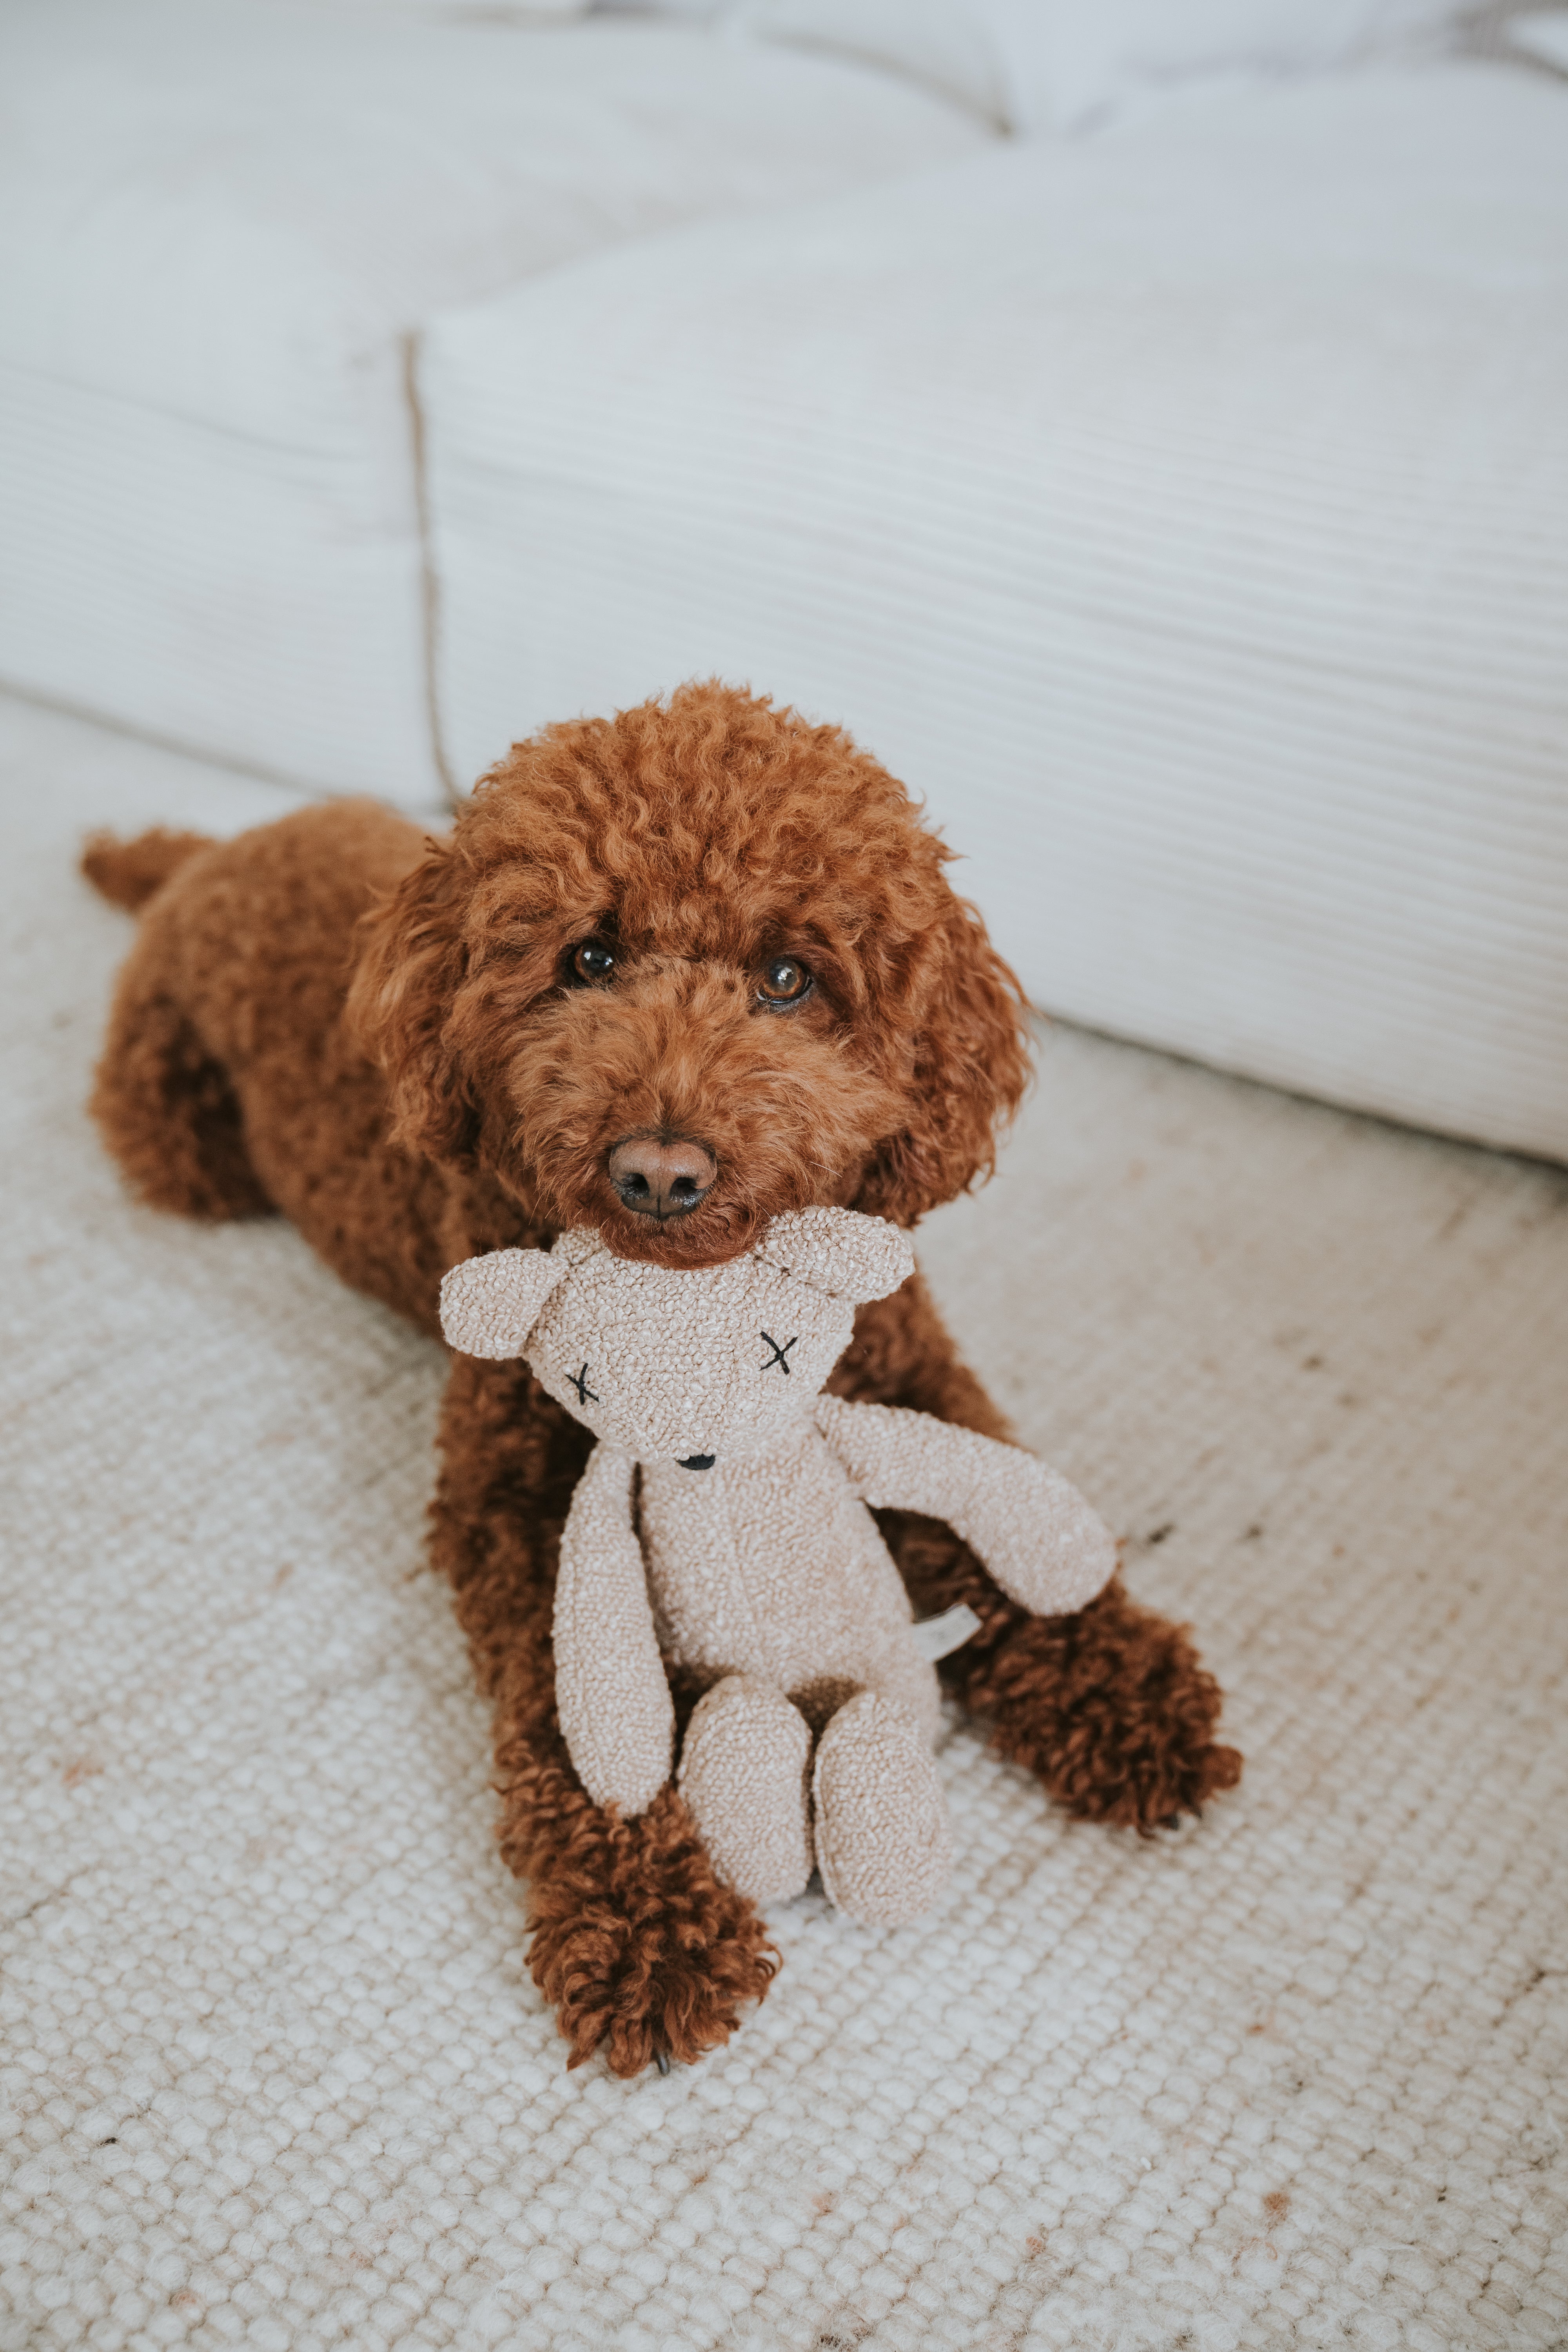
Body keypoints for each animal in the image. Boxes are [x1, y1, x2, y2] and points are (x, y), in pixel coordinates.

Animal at [85, 682, 1241, 2079]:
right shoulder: (518, 1508)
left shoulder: (905, 1365)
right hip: (181, 1145)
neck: (700, 1293)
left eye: (789, 977)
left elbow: (999, 1520)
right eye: (587, 960)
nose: (659, 1171)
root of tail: (208, 855)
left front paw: (1127, 1693)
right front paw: (646, 1929)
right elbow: (577, 1714)